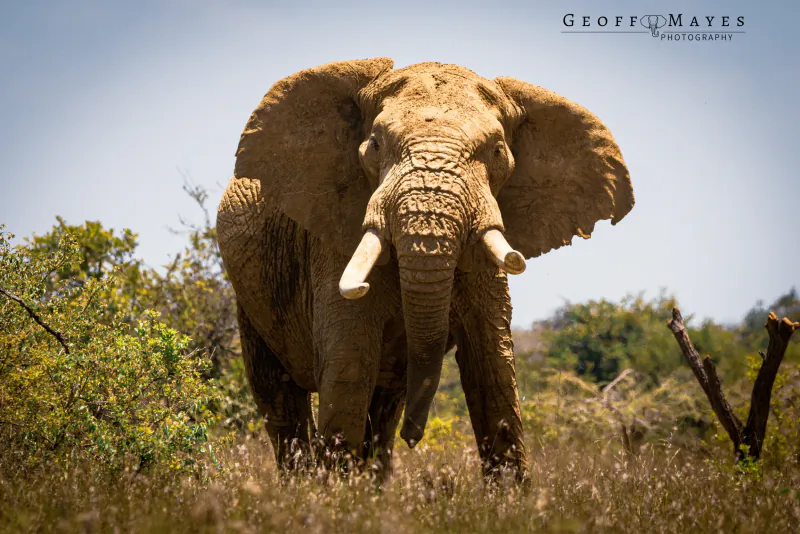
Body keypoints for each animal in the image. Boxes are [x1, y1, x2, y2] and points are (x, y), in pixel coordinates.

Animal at [216, 58, 634, 481]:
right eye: (375, 145)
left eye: (497, 150)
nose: (413, 437)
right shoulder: (330, 238)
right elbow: (349, 363)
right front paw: (334, 494)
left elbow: (493, 367)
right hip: (250, 297)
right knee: (279, 395)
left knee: (384, 407)